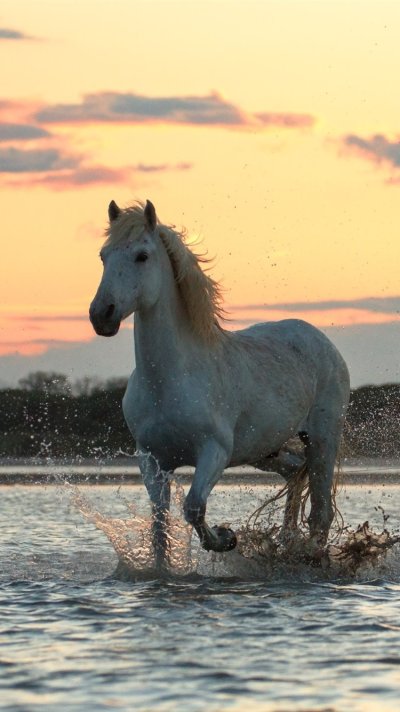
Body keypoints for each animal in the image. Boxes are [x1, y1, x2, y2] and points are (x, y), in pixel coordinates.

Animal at [89, 199, 350, 570]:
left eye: (142, 256)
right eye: (103, 256)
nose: (102, 315)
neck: (169, 381)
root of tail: (321, 340)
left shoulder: (213, 452)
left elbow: (194, 507)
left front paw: (226, 539)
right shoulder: (152, 459)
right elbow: (160, 524)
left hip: (323, 440)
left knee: (320, 512)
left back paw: (307, 557)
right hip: (265, 450)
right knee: (294, 475)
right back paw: (286, 544)